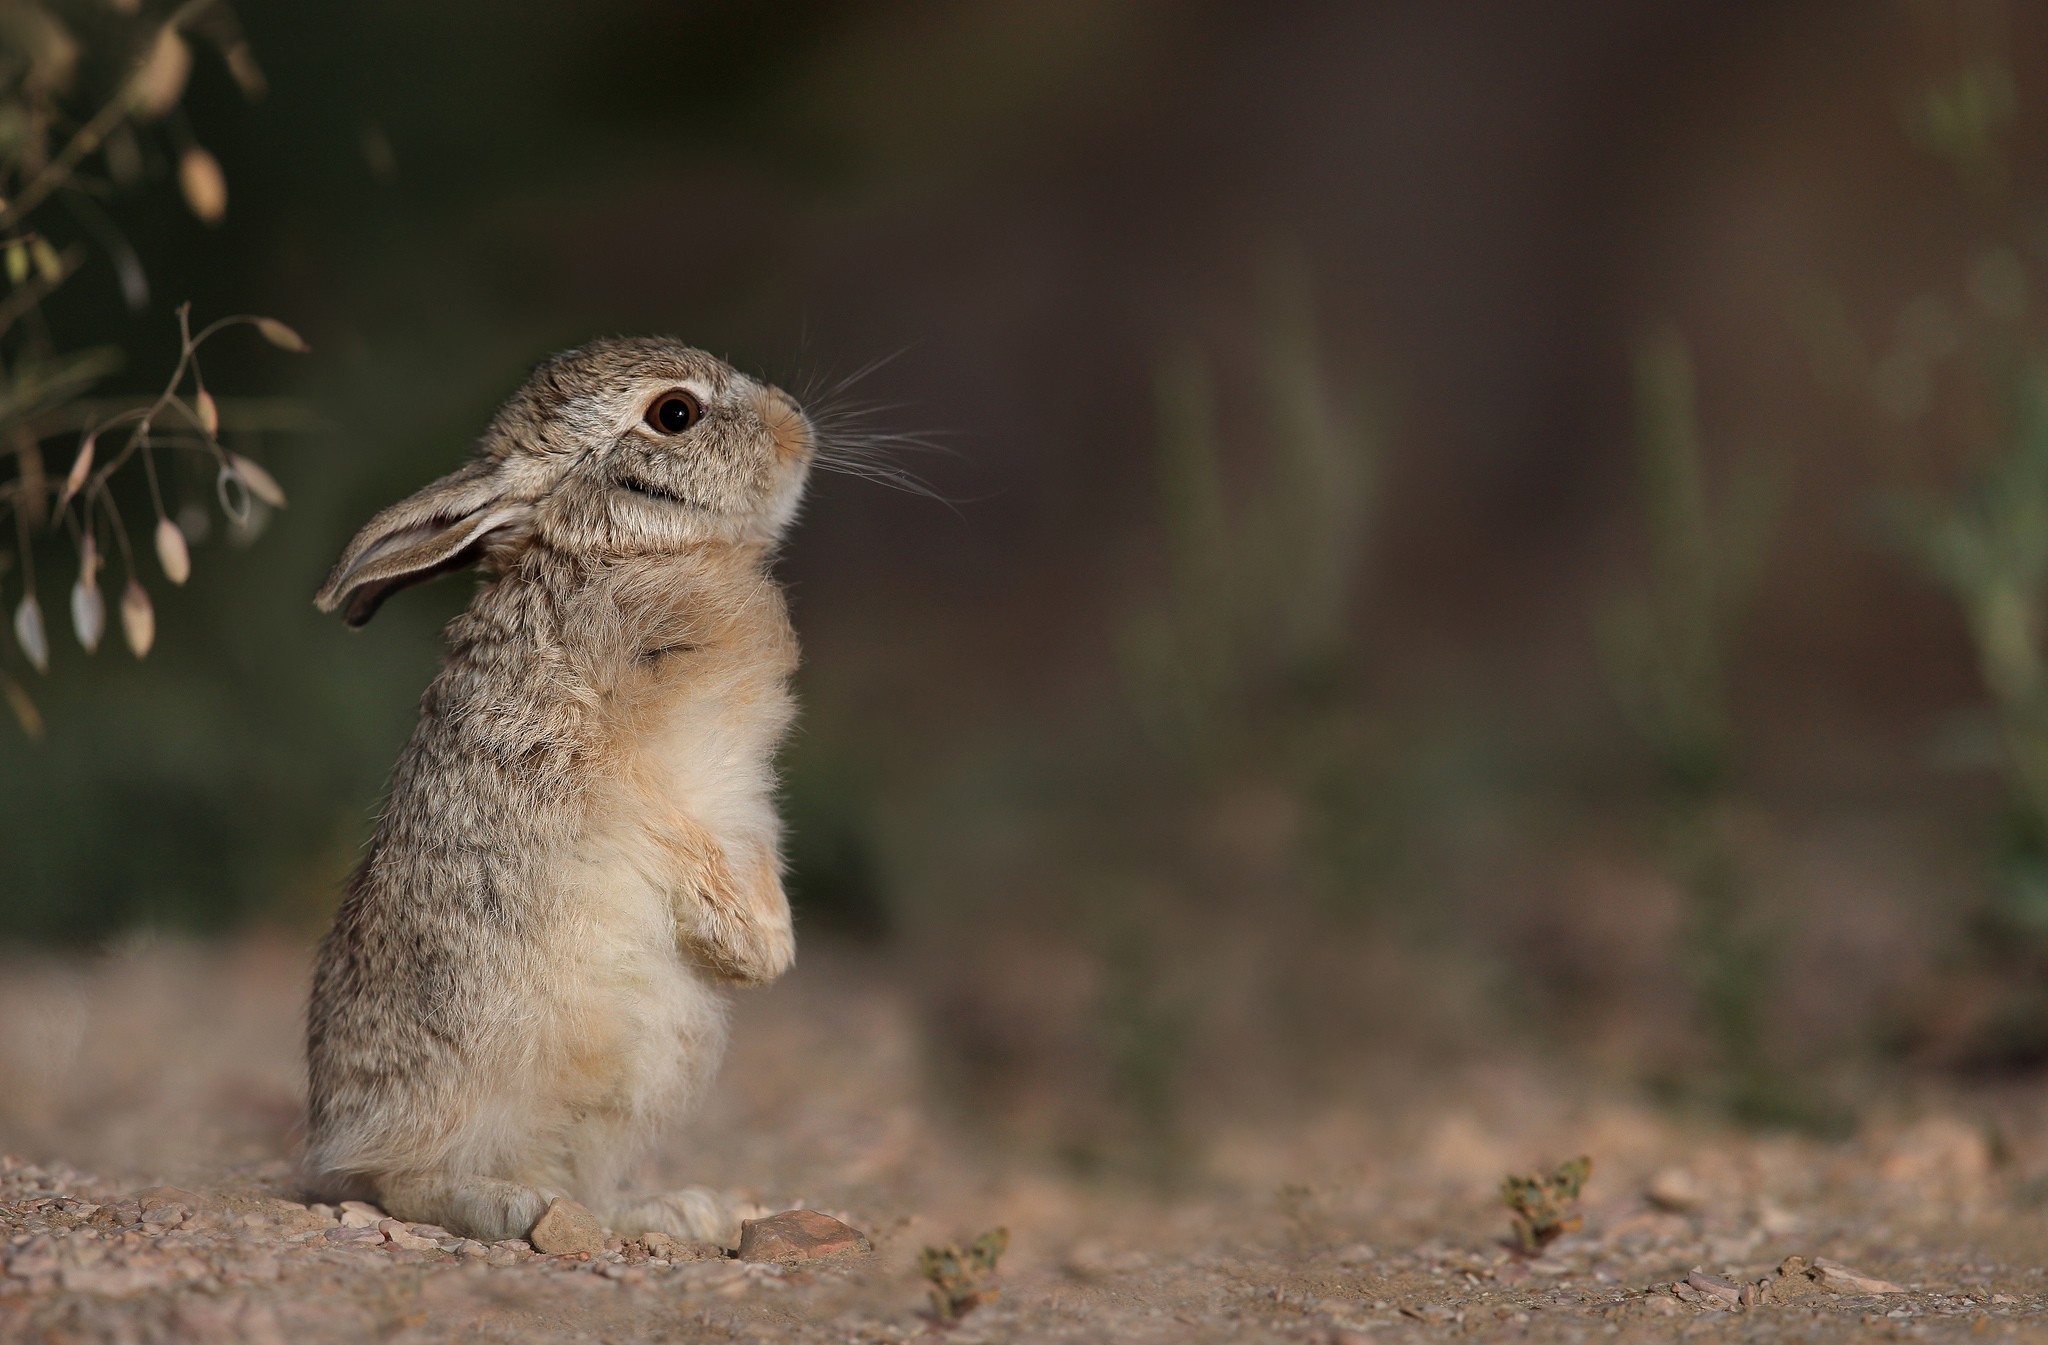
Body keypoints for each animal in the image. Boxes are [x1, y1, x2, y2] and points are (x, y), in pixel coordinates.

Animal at [303, 337, 815, 1244]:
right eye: (675, 413)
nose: (798, 425)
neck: (624, 551)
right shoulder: (613, 775)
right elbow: (673, 837)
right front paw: (755, 950)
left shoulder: (743, 799)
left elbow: (750, 850)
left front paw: (765, 950)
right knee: (399, 1180)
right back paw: (507, 1203)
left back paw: (674, 1210)